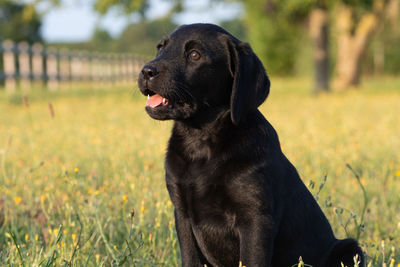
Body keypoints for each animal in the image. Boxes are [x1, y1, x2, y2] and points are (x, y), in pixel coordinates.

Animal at [138, 23, 366, 267]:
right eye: (160, 48)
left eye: (194, 55)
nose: (146, 71)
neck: (201, 144)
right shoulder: (182, 214)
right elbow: (190, 259)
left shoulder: (255, 219)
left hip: (349, 248)